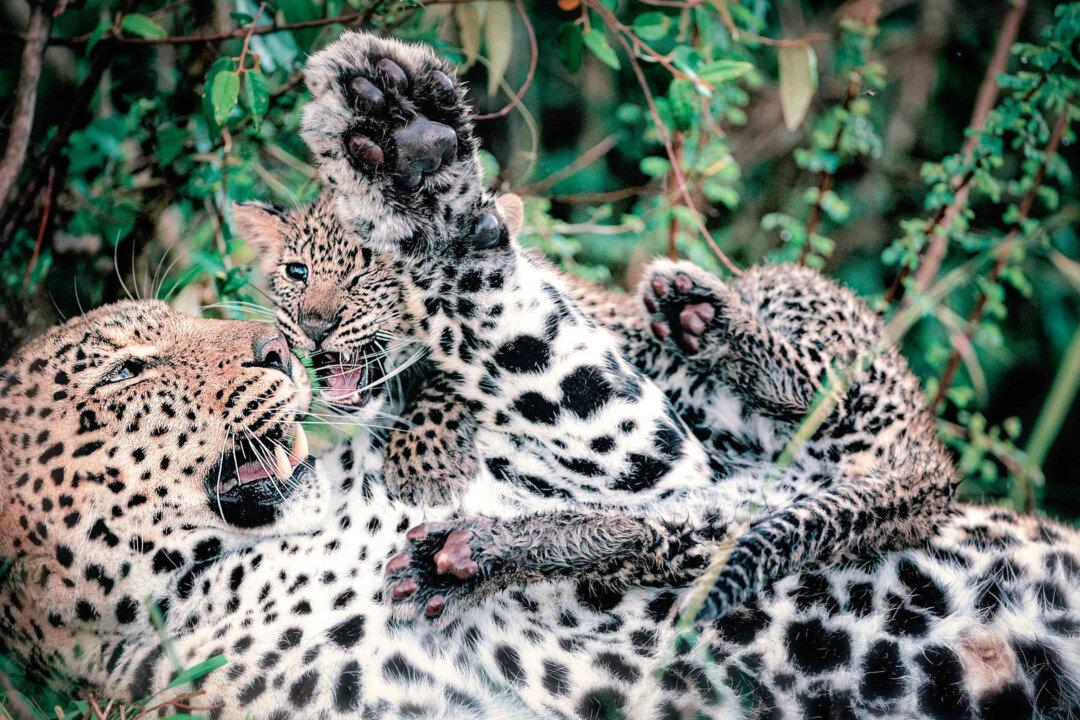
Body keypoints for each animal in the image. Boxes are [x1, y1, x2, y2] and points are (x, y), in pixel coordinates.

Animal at [243, 30, 955, 622]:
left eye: (375, 271)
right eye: (297, 272)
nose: (313, 326)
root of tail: (929, 456)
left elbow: (443, 382)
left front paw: (423, 459)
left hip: (783, 315)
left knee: (821, 386)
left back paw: (696, 313)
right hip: (715, 506)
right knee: (654, 535)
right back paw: (473, 556)